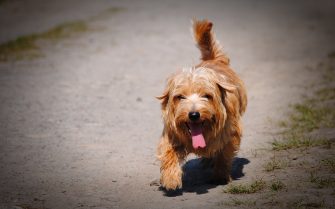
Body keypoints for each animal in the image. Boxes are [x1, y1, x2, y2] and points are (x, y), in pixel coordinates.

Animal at [157, 18, 247, 190]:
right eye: (180, 97)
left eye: (207, 96)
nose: (193, 114)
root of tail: (213, 59)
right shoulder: (172, 134)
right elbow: (168, 152)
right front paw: (171, 178)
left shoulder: (231, 135)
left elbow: (224, 155)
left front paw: (220, 175)